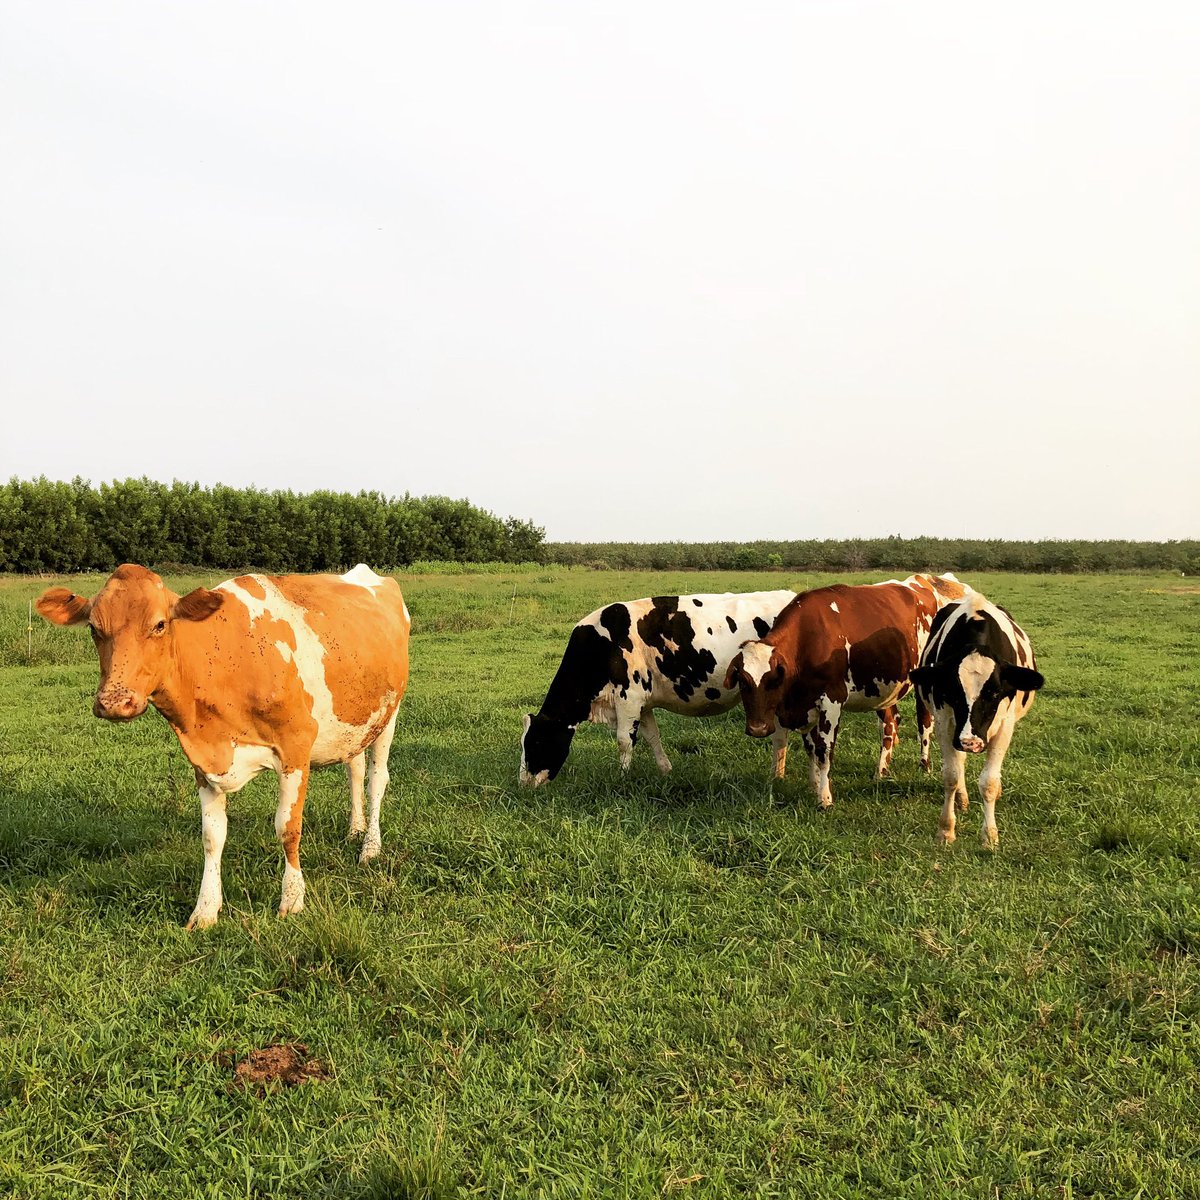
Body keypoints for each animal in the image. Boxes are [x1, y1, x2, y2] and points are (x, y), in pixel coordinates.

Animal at [36, 563, 410, 929]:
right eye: (93, 628)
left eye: (159, 624)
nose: (114, 701)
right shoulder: (202, 761)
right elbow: (212, 837)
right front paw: (205, 910)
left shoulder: (295, 748)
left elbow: (287, 828)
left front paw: (292, 900)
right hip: (355, 722)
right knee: (354, 769)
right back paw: (355, 830)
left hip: (389, 715)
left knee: (376, 780)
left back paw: (370, 847)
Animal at [519, 591, 798, 785]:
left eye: (535, 743)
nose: (524, 784)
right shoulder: (642, 703)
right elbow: (652, 737)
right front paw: (666, 771)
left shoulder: (628, 696)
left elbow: (624, 741)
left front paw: (621, 778)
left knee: (780, 734)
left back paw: (777, 777)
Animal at [723, 574, 971, 809]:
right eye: (742, 682)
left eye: (774, 680)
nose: (758, 729)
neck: (808, 639)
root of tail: (926, 580)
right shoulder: (806, 703)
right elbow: (810, 748)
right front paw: (814, 785)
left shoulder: (832, 700)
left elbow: (824, 751)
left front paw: (824, 798)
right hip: (882, 688)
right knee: (890, 723)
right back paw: (881, 771)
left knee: (924, 724)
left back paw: (924, 765)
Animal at [909, 592, 1043, 848]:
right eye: (952, 691)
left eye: (995, 693)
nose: (970, 742)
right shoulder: (945, 723)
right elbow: (951, 774)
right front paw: (946, 830)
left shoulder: (1004, 726)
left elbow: (988, 781)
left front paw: (989, 835)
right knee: (959, 761)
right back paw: (961, 798)